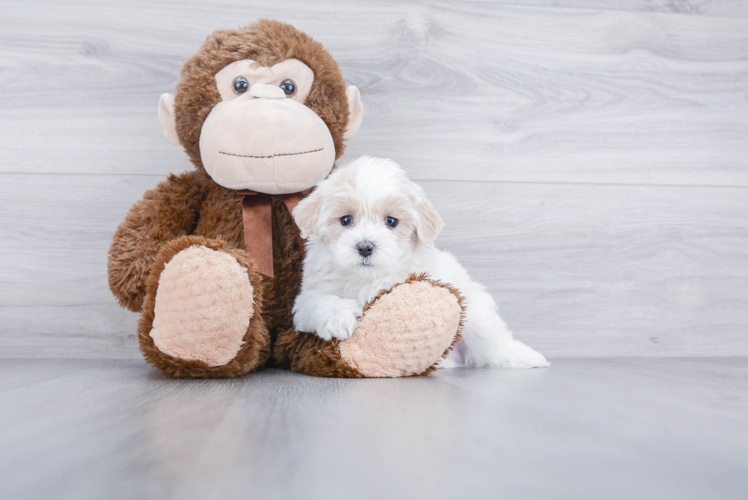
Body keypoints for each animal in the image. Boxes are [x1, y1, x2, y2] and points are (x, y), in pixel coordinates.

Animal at [292, 156, 548, 368]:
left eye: (391, 221)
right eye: (346, 220)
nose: (365, 247)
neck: (363, 276)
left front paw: (373, 291)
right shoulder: (307, 297)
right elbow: (320, 300)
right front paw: (338, 318)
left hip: (476, 317)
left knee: (492, 345)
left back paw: (524, 356)